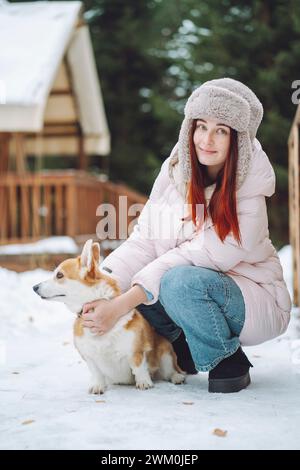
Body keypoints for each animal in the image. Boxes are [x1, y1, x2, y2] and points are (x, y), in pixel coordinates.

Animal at [31, 239, 184, 392]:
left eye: (59, 275)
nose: (34, 287)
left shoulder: (136, 352)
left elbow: (139, 368)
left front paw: (144, 382)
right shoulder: (89, 357)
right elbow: (96, 373)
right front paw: (97, 386)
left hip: (166, 354)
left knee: (170, 370)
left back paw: (177, 377)